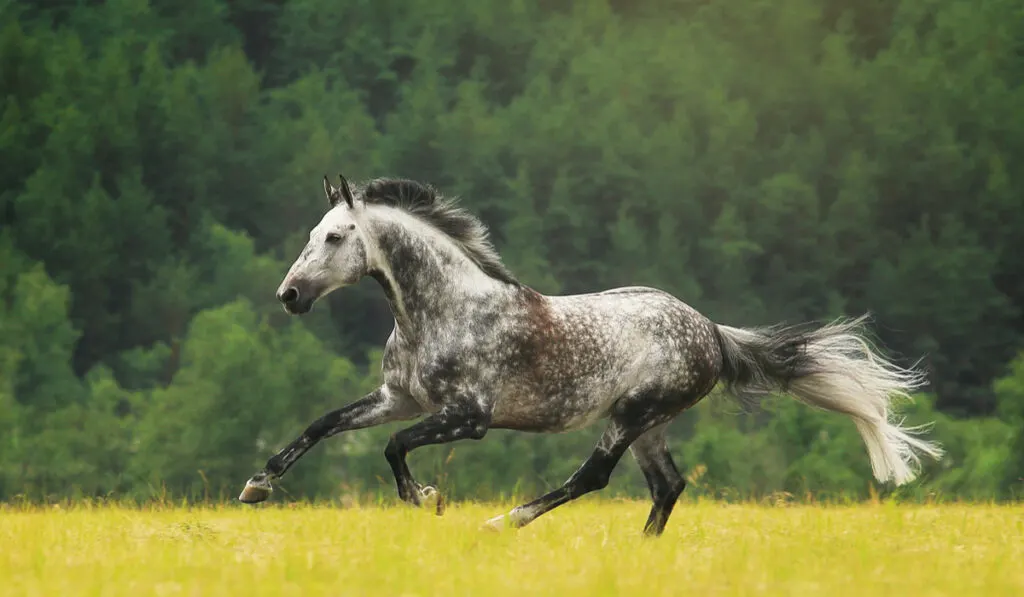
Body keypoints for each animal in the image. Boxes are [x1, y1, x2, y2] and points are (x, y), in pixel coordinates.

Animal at [239, 174, 942, 536]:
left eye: (336, 237)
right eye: (313, 233)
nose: (289, 296)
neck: (438, 311)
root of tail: (711, 330)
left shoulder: (468, 418)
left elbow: (393, 448)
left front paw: (428, 500)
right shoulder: (399, 399)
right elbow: (324, 425)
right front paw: (257, 486)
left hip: (632, 415)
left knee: (594, 477)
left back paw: (504, 522)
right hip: (652, 423)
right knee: (668, 485)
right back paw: (643, 552)